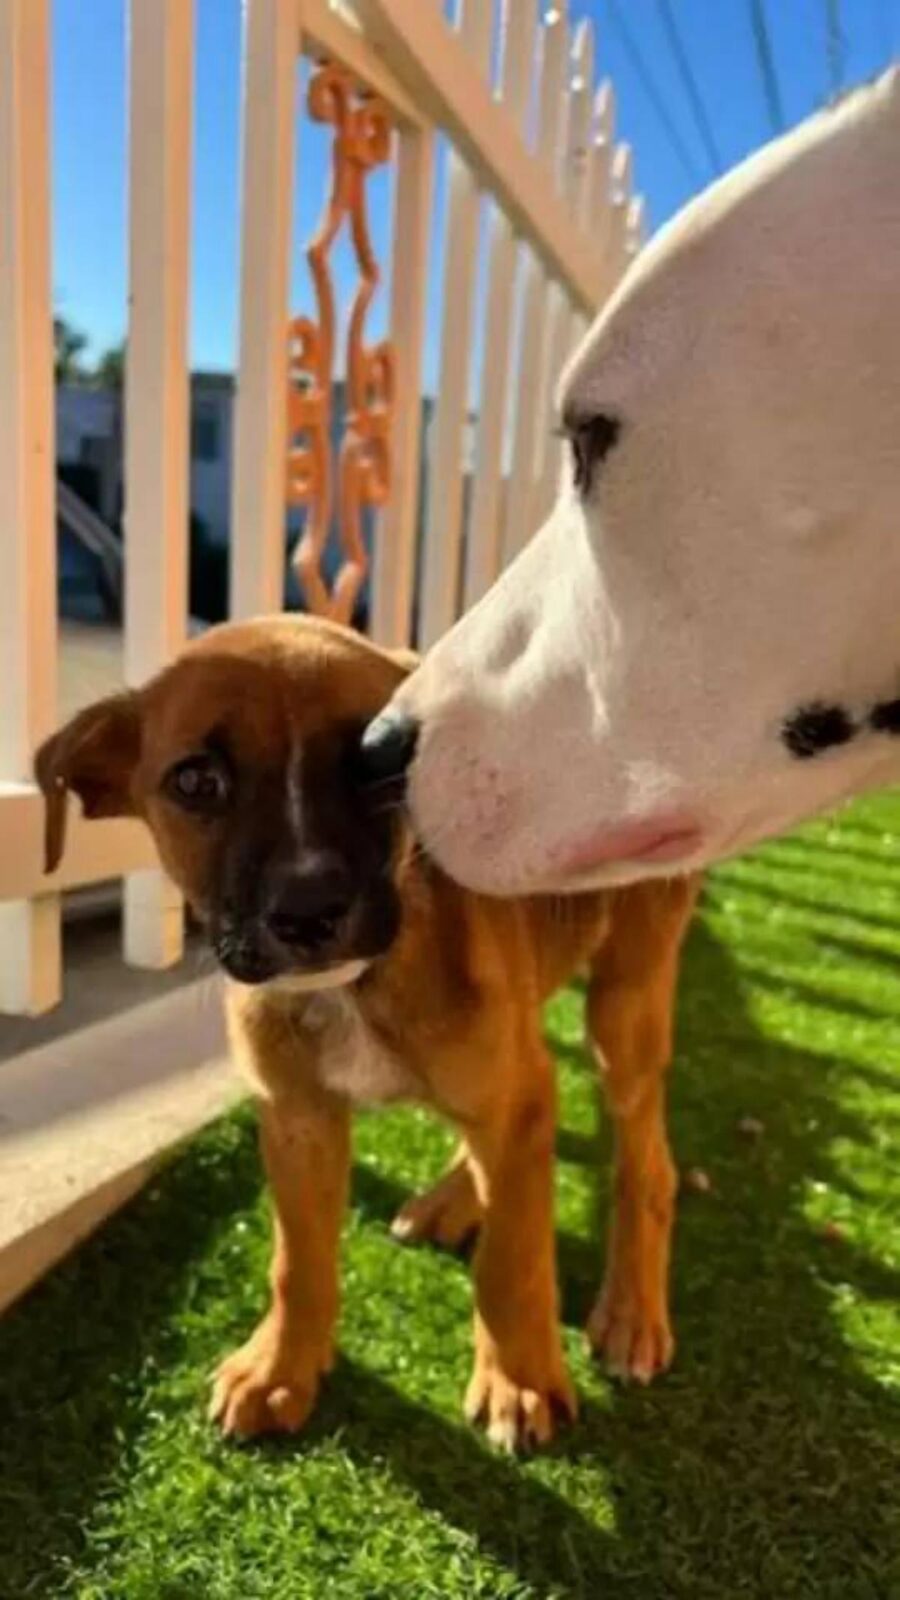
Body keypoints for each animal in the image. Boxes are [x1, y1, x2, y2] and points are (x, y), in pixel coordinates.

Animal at [35, 611, 698, 1452]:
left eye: (373, 766)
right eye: (193, 781)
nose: (308, 909)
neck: (349, 990)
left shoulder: (505, 1095)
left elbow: (511, 1259)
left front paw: (517, 1379)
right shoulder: (297, 1117)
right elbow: (299, 1260)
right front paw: (281, 1368)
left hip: (627, 1000)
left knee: (646, 1161)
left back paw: (633, 1310)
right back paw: (456, 1197)